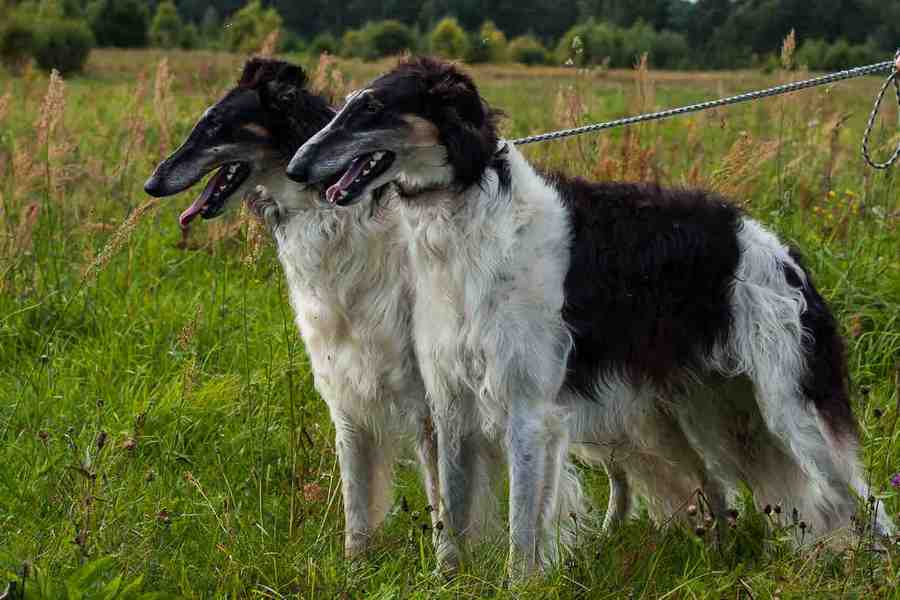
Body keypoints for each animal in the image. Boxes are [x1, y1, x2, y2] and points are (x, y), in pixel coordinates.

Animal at [143, 58, 442, 560]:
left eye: (216, 126)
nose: (152, 183)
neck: (329, 212)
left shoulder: (427, 399)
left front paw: (450, 571)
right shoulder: (345, 385)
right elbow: (356, 508)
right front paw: (354, 568)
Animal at [292, 58, 896, 576]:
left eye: (373, 107)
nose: (297, 168)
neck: (467, 216)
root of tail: (783, 253)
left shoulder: (528, 405)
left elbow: (521, 529)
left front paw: (521, 583)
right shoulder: (452, 401)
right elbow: (454, 522)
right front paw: (448, 580)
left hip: (793, 413)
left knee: (864, 504)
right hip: (713, 413)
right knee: (739, 493)